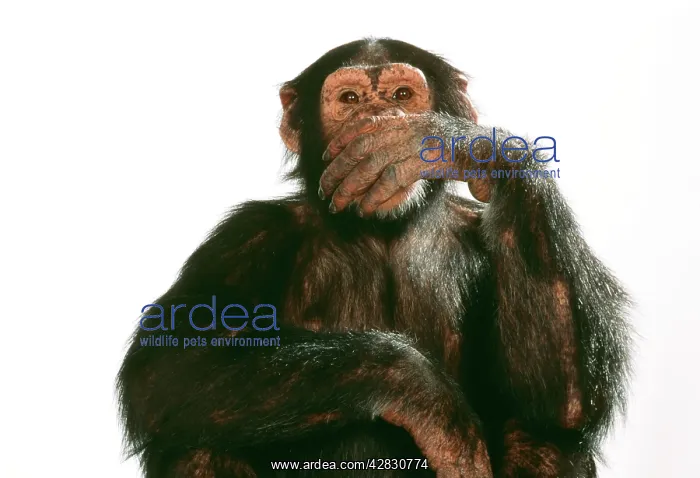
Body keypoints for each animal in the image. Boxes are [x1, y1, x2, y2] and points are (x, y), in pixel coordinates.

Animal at [117, 38, 631, 478]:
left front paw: (448, 141)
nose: (379, 116)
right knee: (198, 442)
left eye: (403, 93)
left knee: (547, 439)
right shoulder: (245, 239)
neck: (384, 231)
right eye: (349, 99)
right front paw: (429, 401)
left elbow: (560, 400)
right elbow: (166, 364)